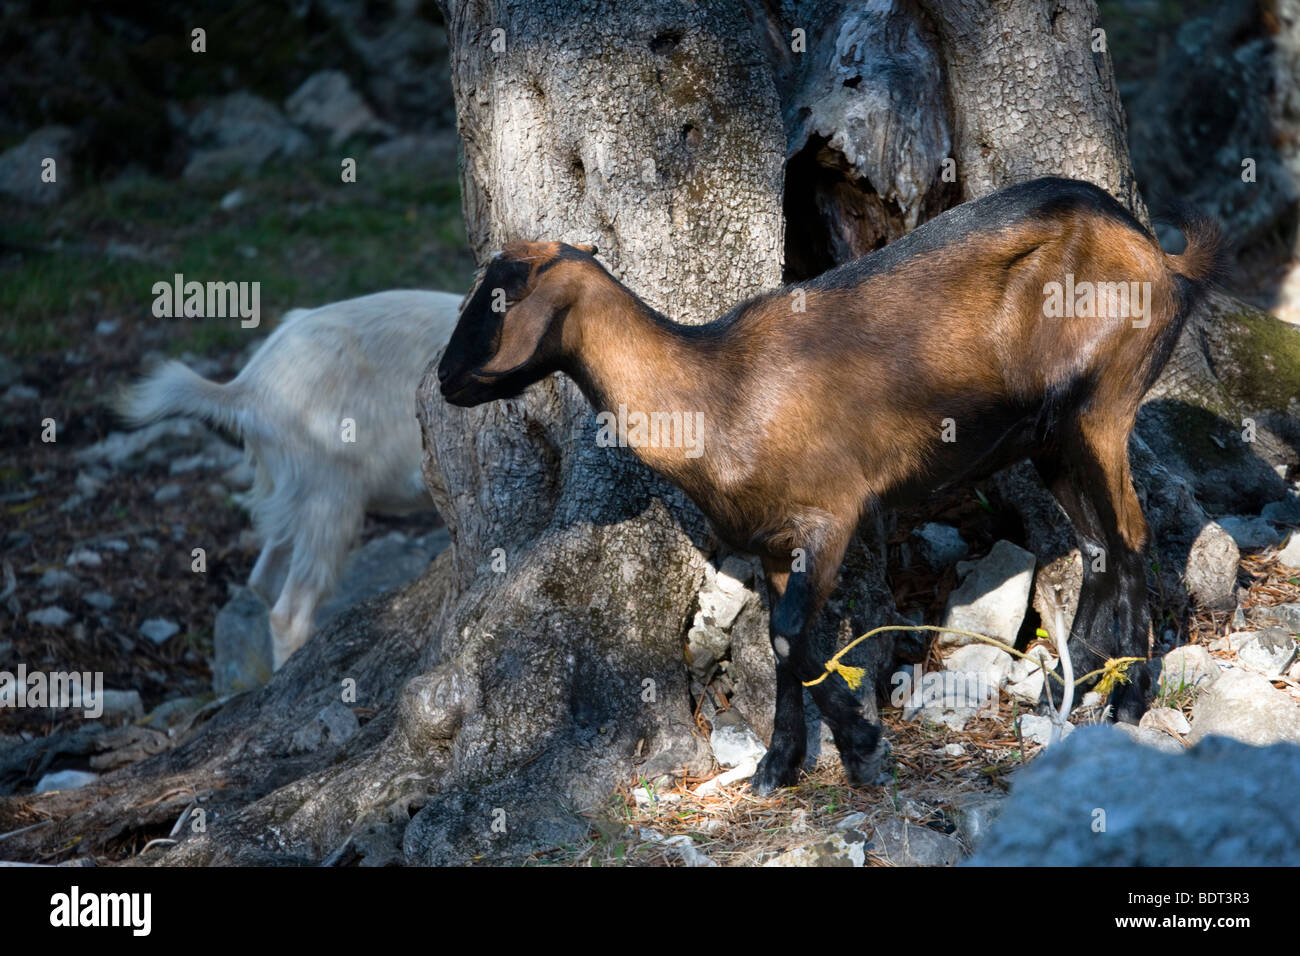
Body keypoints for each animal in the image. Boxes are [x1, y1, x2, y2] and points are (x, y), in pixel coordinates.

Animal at [437, 177, 1222, 794]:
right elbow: (783, 638)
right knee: (1097, 545)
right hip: (1051, 436)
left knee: (1132, 534)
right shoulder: (773, 542)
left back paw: (1129, 699)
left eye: (498, 298)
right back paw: (1071, 683)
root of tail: (1154, 249)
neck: (718, 388)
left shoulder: (832, 513)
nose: (444, 381)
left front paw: (866, 752)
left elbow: (790, 636)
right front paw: (780, 766)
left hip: (1103, 403)